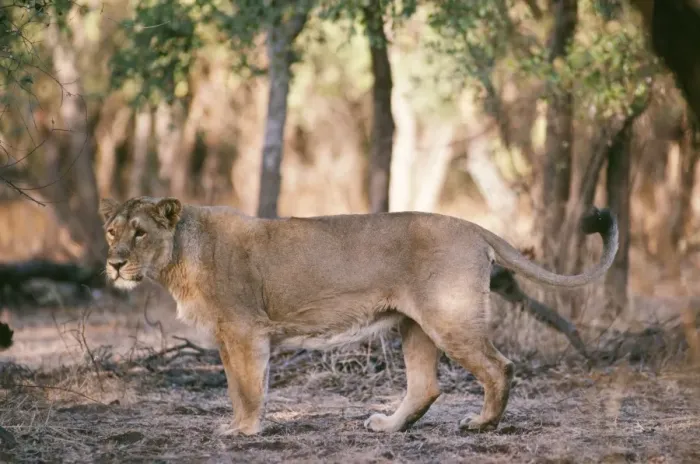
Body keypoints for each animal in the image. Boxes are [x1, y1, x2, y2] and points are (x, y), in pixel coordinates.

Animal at [98, 196, 618, 436]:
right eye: (112, 231)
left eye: (140, 232)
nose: (115, 263)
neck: (180, 255)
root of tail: (472, 225)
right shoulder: (252, 337)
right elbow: (254, 387)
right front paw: (253, 425)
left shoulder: (241, 331)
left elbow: (241, 388)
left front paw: (240, 430)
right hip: (414, 325)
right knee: (425, 386)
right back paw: (388, 427)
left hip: (449, 318)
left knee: (499, 367)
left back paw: (480, 424)